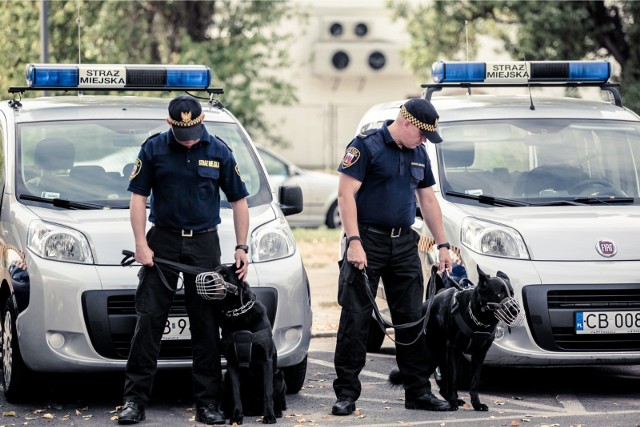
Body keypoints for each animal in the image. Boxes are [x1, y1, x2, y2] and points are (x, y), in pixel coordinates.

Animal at [214, 266, 286, 422]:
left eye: (224, 275)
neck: (238, 314)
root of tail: (252, 410)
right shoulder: (232, 364)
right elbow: (236, 394)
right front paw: (236, 416)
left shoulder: (266, 361)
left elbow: (267, 392)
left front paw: (269, 416)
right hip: (226, 378)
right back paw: (227, 412)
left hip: (278, 376)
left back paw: (277, 411)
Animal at [388, 268, 524, 412]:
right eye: (499, 294)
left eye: (512, 293)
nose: (516, 310)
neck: (477, 319)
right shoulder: (452, 351)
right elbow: (453, 380)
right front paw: (453, 402)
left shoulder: (480, 354)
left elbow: (474, 381)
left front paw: (476, 404)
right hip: (437, 355)